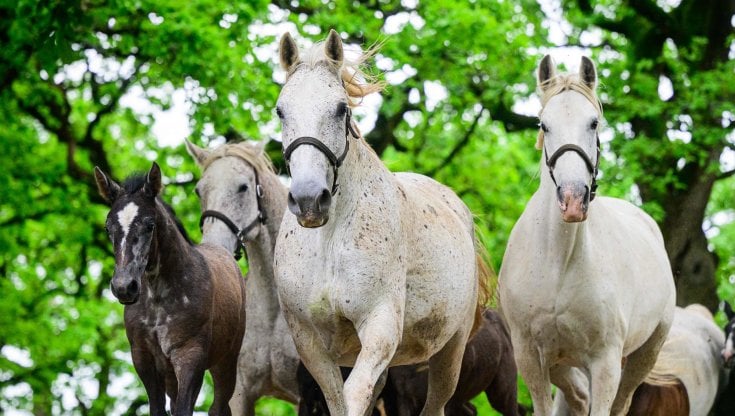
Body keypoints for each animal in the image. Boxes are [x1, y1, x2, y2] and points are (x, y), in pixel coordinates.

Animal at [94, 162, 246, 416]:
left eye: (150, 224)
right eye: (108, 227)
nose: (124, 287)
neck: (158, 300)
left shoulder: (190, 356)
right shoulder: (144, 358)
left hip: (225, 363)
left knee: (219, 407)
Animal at [273, 29, 492, 416]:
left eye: (340, 109)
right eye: (281, 110)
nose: (309, 200)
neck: (330, 242)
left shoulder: (379, 326)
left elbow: (354, 395)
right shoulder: (310, 341)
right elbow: (338, 400)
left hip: (450, 352)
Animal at [497, 55, 676, 415]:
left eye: (593, 123)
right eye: (543, 125)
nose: (572, 199)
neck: (558, 261)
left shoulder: (605, 362)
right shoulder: (529, 355)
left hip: (643, 355)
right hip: (560, 362)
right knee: (577, 398)